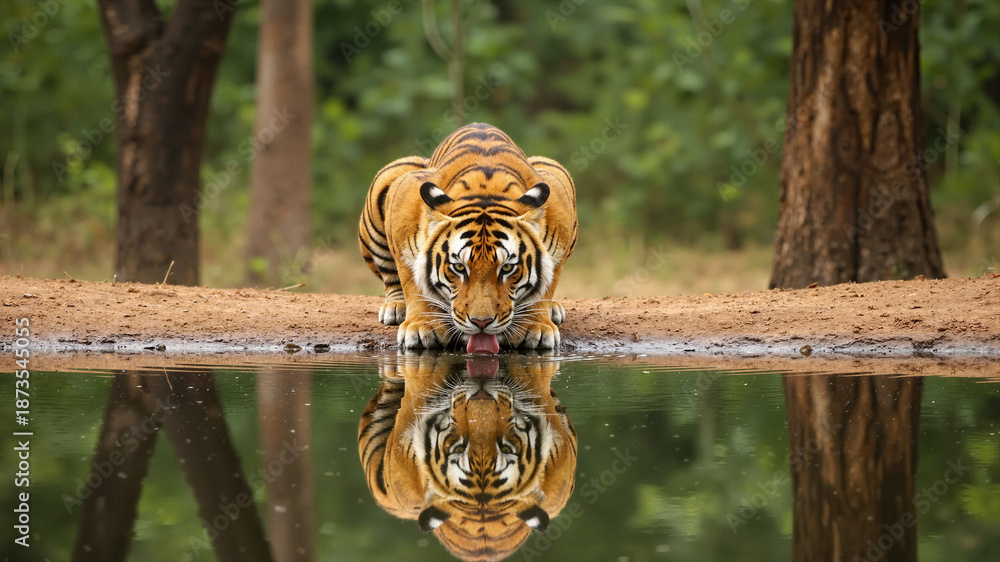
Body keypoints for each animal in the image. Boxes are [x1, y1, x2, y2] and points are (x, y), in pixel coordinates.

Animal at [358, 123, 578, 352]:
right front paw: (422, 327)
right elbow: (412, 280)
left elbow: (547, 283)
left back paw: (553, 309)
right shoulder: (403, 200)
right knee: (390, 275)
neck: (486, 192)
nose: (481, 322)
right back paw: (395, 308)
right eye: (459, 267)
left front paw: (535, 327)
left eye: (507, 268)